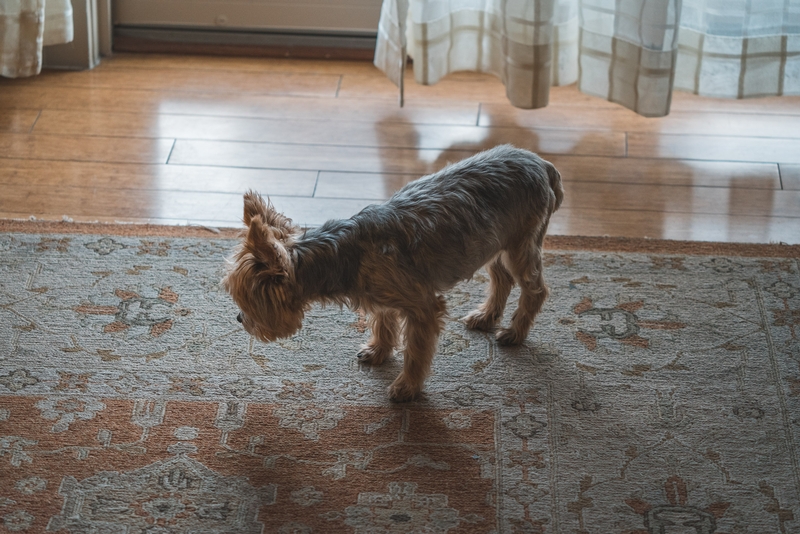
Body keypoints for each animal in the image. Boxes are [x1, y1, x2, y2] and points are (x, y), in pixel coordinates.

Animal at [222, 146, 564, 402]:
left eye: (245, 298)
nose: (239, 318)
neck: (342, 255)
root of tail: (544, 164)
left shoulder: (424, 307)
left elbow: (416, 350)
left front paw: (406, 387)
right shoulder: (382, 296)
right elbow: (383, 323)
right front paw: (378, 351)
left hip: (520, 243)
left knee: (535, 289)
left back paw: (514, 333)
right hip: (495, 243)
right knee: (502, 279)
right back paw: (486, 317)